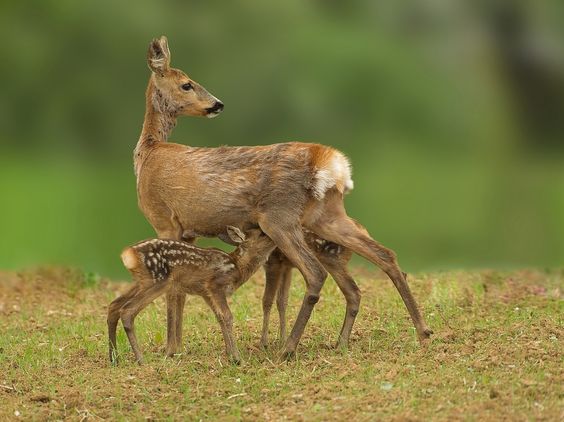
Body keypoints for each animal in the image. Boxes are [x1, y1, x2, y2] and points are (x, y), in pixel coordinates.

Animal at [132, 37, 432, 360]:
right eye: (187, 84)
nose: (217, 104)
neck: (148, 154)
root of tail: (331, 163)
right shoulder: (187, 229)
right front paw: (175, 346)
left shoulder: (164, 219)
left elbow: (173, 289)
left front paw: (170, 349)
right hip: (326, 215)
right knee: (385, 255)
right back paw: (420, 332)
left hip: (279, 217)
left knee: (315, 274)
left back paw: (288, 349)